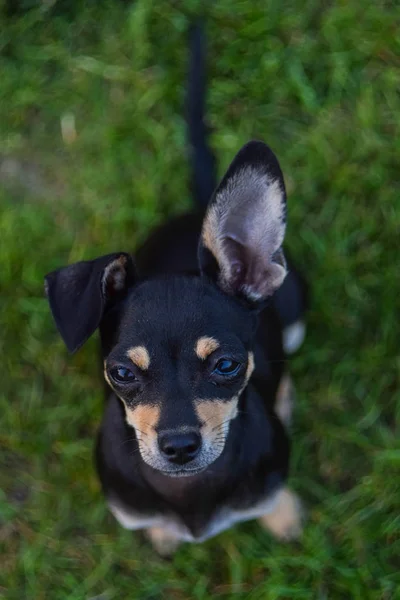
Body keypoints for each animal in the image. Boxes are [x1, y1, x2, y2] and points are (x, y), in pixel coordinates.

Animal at [44, 25, 306, 556]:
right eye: (122, 373)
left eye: (226, 365)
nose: (180, 445)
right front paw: (164, 534)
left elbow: (273, 496)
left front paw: (282, 514)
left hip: (296, 315)